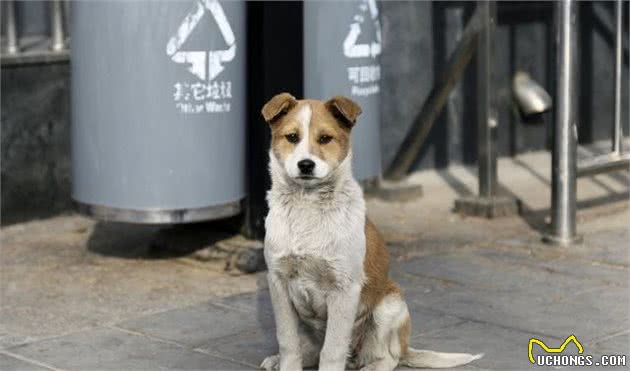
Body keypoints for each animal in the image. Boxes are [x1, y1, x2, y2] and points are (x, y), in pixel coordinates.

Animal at [260, 93, 482, 371]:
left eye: (325, 138)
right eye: (292, 137)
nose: (306, 165)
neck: (307, 207)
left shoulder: (344, 288)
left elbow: (332, 351)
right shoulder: (278, 282)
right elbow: (288, 342)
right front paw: (286, 363)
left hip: (389, 305)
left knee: (388, 357)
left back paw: (372, 366)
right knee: (310, 350)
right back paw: (277, 360)